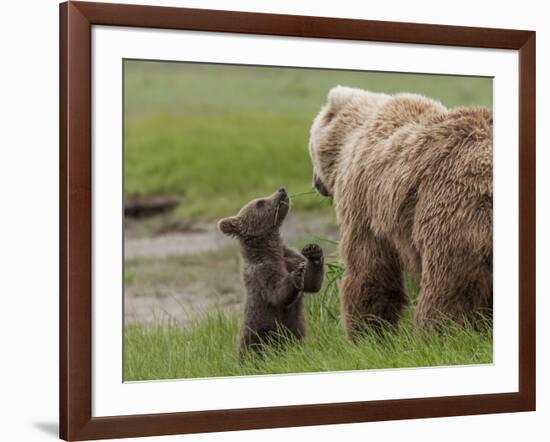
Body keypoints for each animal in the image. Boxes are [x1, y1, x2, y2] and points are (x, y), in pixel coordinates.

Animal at [308, 84, 494, 336]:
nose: (316, 183)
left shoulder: (363, 200)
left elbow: (368, 266)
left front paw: (366, 331)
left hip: (451, 207)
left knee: (448, 283)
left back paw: (438, 331)